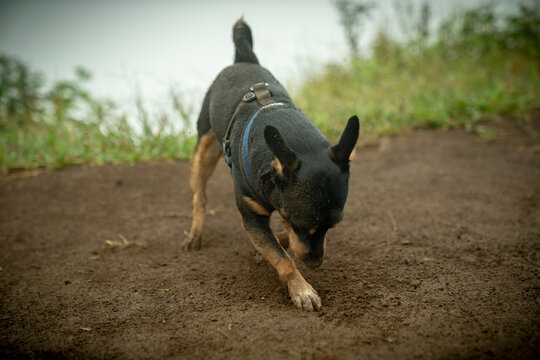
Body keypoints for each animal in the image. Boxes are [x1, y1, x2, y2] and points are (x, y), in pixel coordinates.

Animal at [182, 18, 358, 310]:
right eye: (302, 225)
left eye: (332, 227)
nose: (315, 263)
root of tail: (243, 59)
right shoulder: (252, 215)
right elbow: (283, 259)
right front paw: (302, 290)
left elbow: (279, 241)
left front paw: (274, 244)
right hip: (203, 148)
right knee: (199, 195)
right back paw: (195, 234)